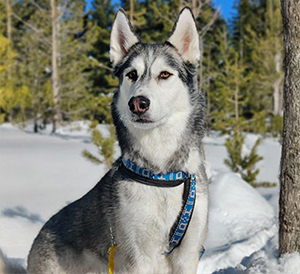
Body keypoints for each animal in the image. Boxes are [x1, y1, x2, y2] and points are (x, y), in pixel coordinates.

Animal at [27, 6, 207, 274]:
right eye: (132, 74)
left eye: (165, 74)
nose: (138, 103)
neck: (162, 174)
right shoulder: (137, 258)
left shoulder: (188, 255)